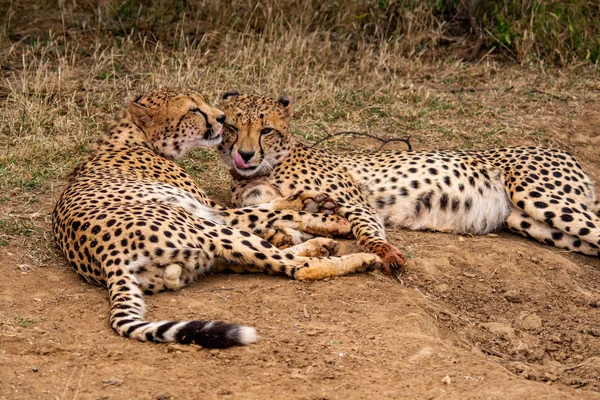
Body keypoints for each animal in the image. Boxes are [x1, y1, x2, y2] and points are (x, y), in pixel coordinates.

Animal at [50, 89, 380, 348]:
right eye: (193, 109)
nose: (221, 118)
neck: (133, 138)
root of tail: (108, 259)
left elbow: (271, 205)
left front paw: (311, 201)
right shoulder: (213, 210)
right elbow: (268, 211)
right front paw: (328, 218)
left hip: (202, 255)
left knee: (267, 258)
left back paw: (319, 245)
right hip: (204, 227)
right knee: (297, 267)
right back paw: (359, 258)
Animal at [217, 90, 600, 274]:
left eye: (266, 130)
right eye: (232, 127)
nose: (245, 155)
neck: (266, 169)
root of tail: (561, 150)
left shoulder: (356, 203)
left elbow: (364, 231)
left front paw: (385, 253)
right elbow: (286, 217)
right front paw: (283, 235)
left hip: (535, 196)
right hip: (525, 220)